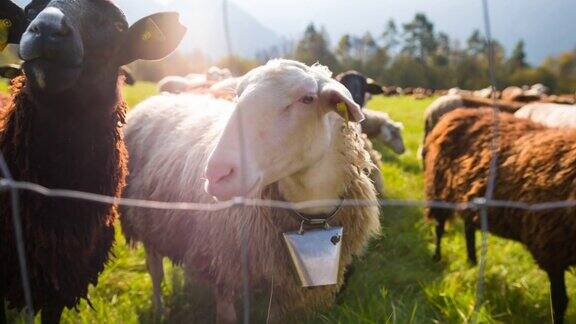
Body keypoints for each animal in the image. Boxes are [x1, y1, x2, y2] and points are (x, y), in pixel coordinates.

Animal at [120, 60, 382, 322]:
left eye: (307, 99)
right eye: (238, 96)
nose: (216, 174)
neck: (311, 209)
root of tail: (160, 98)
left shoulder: (283, 285)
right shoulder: (226, 266)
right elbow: (227, 316)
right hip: (144, 219)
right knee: (155, 271)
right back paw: (159, 309)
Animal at [424, 109, 576, 324]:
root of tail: (456, 113)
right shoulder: (551, 249)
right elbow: (559, 301)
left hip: (469, 197)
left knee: (468, 229)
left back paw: (472, 262)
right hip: (438, 187)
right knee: (439, 227)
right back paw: (437, 257)